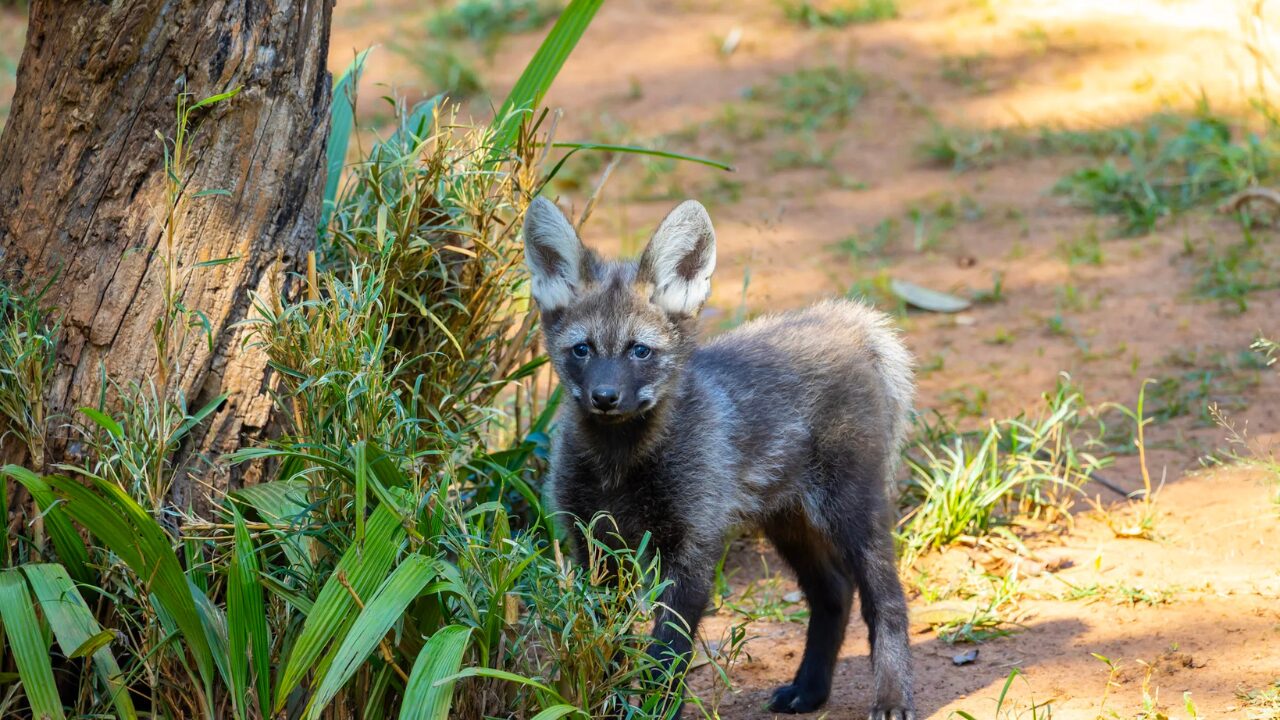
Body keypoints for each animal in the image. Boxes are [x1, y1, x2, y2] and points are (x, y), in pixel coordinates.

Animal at [522, 196, 915, 719]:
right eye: (582, 350)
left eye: (640, 351)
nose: (604, 397)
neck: (620, 467)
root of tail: (846, 321)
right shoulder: (595, 547)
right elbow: (606, 650)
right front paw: (607, 704)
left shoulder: (692, 547)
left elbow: (665, 657)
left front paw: (653, 709)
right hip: (787, 520)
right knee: (834, 592)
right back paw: (809, 690)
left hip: (849, 512)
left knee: (886, 599)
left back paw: (891, 696)